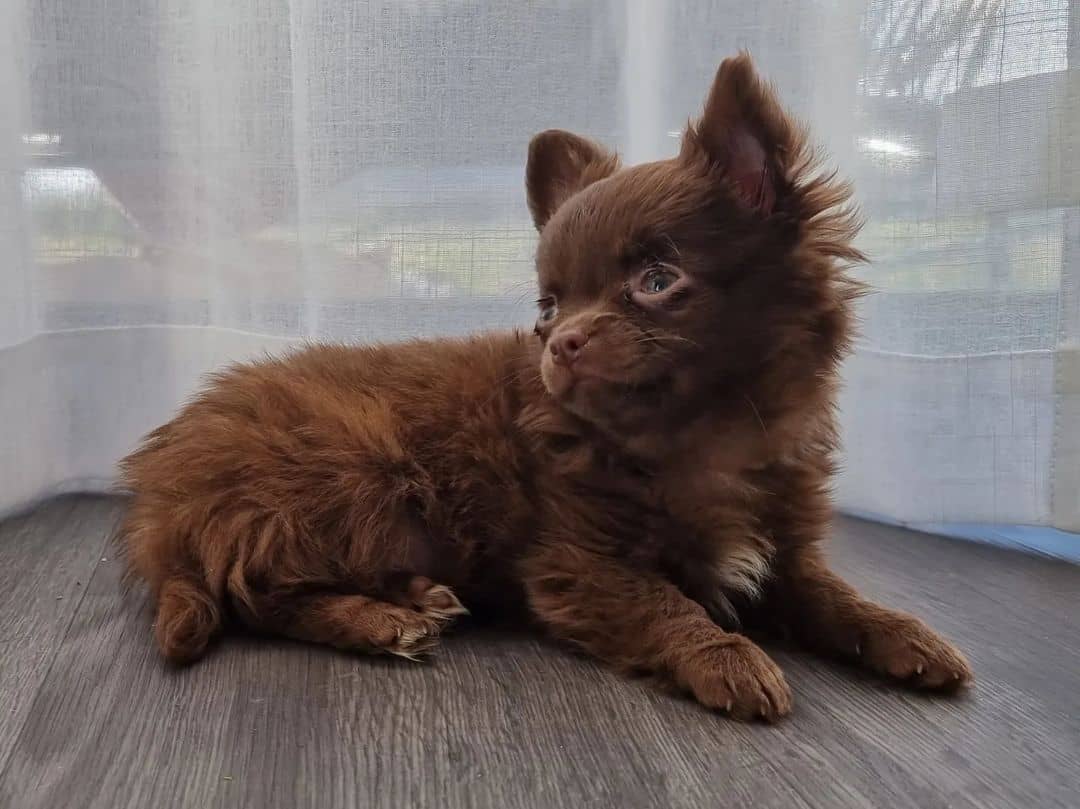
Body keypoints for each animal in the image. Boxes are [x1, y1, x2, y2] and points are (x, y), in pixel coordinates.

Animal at [118, 55, 972, 721]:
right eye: (549, 307)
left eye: (657, 280)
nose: (561, 341)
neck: (700, 439)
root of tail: (159, 494)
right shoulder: (579, 566)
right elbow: (669, 603)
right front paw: (728, 655)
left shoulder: (782, 549)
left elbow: (835, 593)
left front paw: (907, 632)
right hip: (351, 476)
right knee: (259, 596)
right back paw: (381, 622)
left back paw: (418, 597)